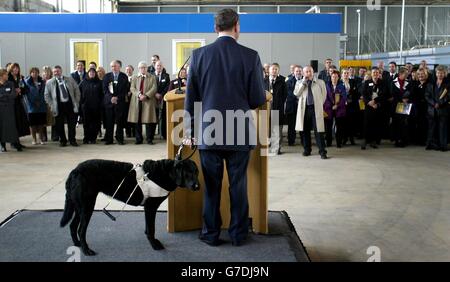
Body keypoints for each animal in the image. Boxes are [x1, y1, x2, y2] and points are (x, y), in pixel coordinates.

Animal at [59, 159, 199, 256]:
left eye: (197, 172)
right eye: (188, 172)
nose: (197, 186)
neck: (164, 173)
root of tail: (74, 171)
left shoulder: (148, 208)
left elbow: (148, 228)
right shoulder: (150, 207)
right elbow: (151, 229)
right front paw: (154, 245)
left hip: (80, 206)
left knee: (72, 226)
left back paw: (77, 245)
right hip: (87, 205)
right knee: (80, 230)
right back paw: (86, 250)